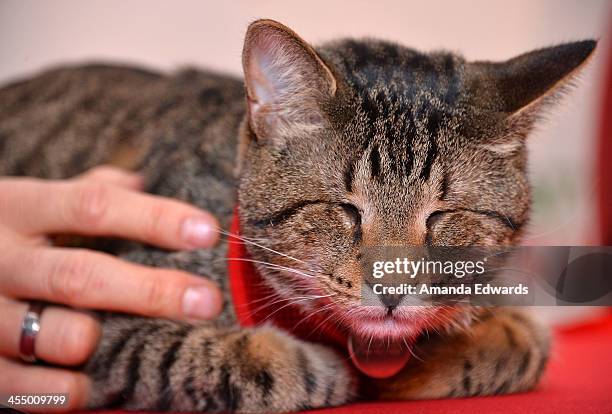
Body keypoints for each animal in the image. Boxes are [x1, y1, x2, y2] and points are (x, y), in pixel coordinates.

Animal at [0, 19, 596, 414]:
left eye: (441, 217)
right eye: (344, 210)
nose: (392, 289)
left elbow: (528, 343)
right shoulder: (103, 326)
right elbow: (223, 360)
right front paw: (331, 370)